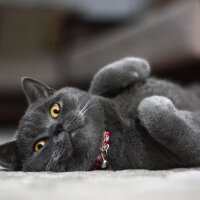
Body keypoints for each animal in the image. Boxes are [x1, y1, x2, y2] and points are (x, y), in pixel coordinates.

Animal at [0, 57, 200, 171]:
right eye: (39, 145)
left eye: (55, 110)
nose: (58, 127)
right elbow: (157, 118)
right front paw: (156, 102)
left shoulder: (100, 94)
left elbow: (98, 80)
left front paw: (138, 64)